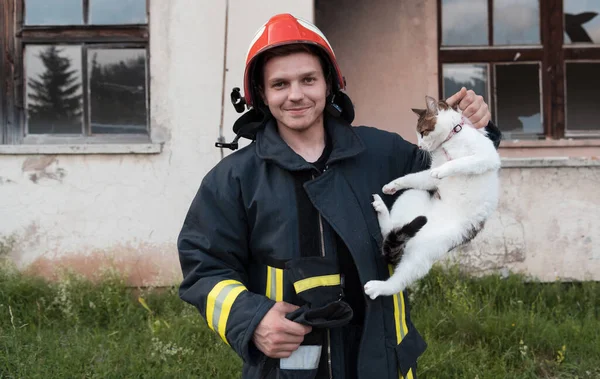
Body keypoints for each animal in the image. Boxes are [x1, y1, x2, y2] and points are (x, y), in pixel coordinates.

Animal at [364, 95, 500, 300]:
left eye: (423, 132)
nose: (420, 145)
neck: (452, 138)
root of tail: (408, 242)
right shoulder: (426, 178)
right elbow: (413, 177)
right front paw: (392, 185)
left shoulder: (485, 157)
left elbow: (461, 162)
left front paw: (443, 170)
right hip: (411, 196)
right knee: (389, 230)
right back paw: (382, 209)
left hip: (421, 257)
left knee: (398, 282)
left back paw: (377, 287)